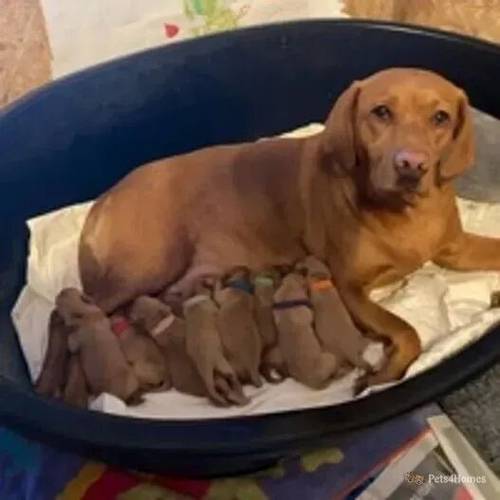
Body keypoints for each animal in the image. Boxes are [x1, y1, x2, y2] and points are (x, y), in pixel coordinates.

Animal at [79, 67, 500, 386]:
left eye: (440, 118)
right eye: (381, 112)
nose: (411, 165)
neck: (407, 214)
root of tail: (105, 197)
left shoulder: (455, 249)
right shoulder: (348, 285)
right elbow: (407, 332)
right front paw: (386, 371)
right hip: (147, 265)